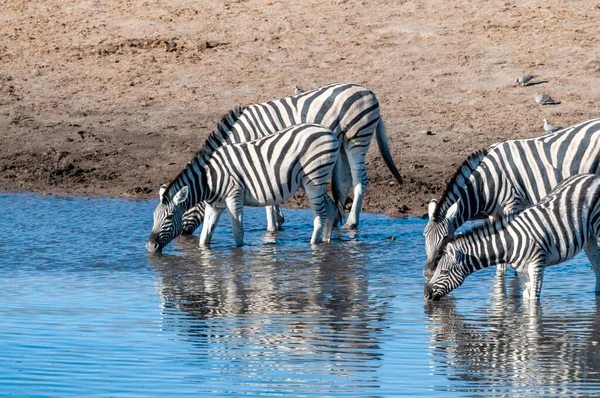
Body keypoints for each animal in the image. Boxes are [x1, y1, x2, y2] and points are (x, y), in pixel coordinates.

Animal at [146, 123, 342, 252]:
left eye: (170, 216)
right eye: (153, 217)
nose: (149, 246)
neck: (209, 180)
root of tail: (327, 131)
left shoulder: (234, 197)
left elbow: (238, 233)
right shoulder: (214, 206)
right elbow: (204, 237)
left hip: (313, 179)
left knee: (320, 215)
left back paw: (313, 245)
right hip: (314, 181)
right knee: (331, 208)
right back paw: (326, 242)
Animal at [178, 82, 404, 235]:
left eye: (187, 204)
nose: (184, 234)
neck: (241, 133)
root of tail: (369, 91)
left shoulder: (261, 154)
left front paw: (272, 225)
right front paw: (279, 220)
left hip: (357, 139)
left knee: (360, 180)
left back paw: (352, 222)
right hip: (342, 144)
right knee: (345, 180)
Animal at [424, 118, 600, 280]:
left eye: (446, 238)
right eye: (425, 236)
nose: (428, 273)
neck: (486, 183)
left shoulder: (512, 204)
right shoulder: (494, 213)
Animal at [424, 173, 600, 300]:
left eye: (444, 271)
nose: (426, 294)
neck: (510, 243)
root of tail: (592, 176)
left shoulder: (537, 265)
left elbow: (534, 302)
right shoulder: (522, 271)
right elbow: (526, 299)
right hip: (589, 239)